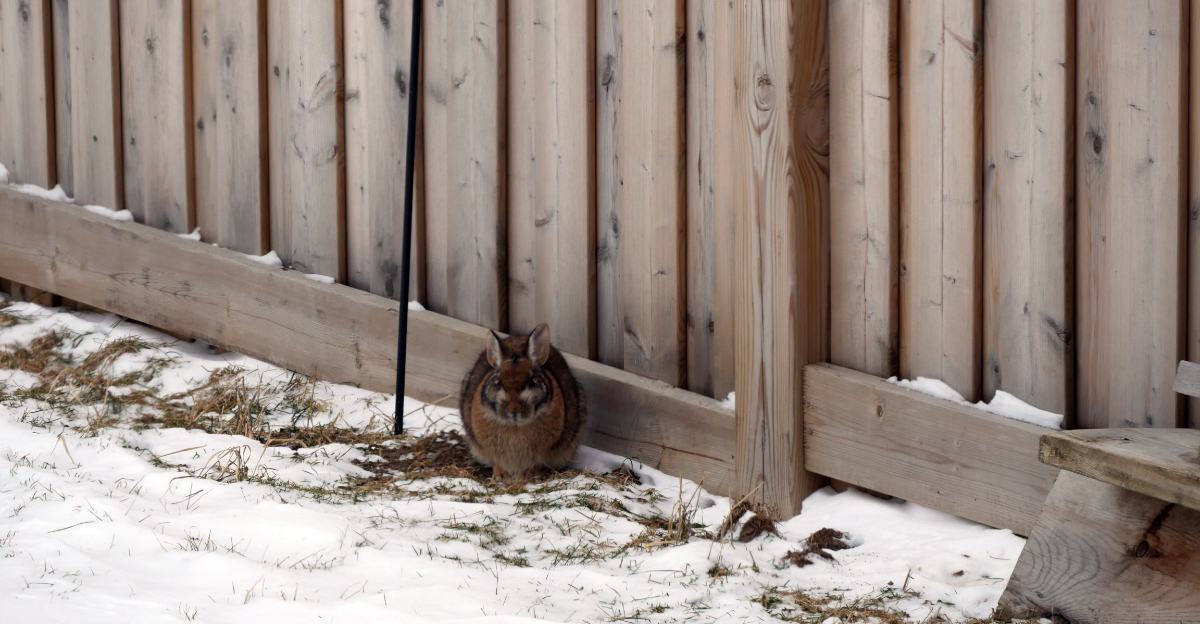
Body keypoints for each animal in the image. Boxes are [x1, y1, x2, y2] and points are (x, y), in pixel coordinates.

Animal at [459, 323, 587, 483]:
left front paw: (525, 476)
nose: (514, 410)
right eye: (498, 383)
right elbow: (495, 461)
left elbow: (538, 463)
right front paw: (501, 475)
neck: (515, 425)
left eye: (531, 382)